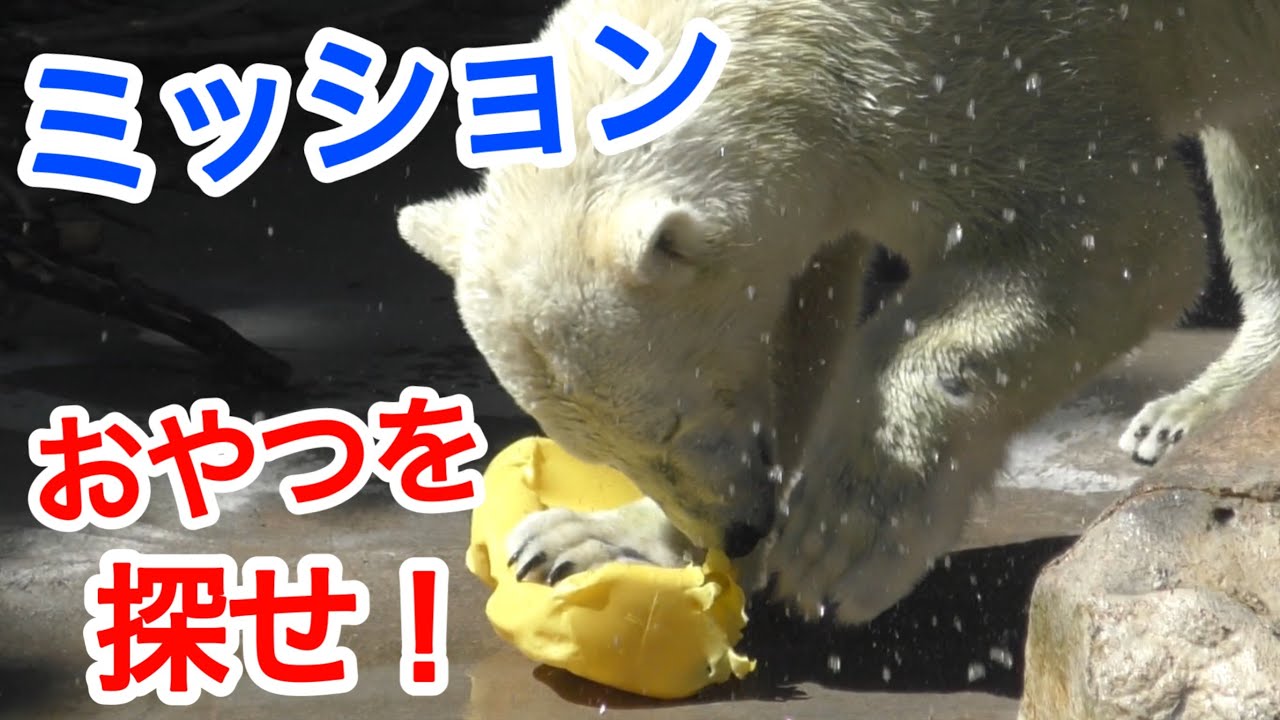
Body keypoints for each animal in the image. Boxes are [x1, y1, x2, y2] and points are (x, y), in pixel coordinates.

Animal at [397, 0, 1280, 625]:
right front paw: (592, 539)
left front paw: (845, 535)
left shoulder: (998, 68)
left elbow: (1125, 240)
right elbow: (801, 314)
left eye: (675, 422)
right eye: (608, 452)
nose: (739, 531)